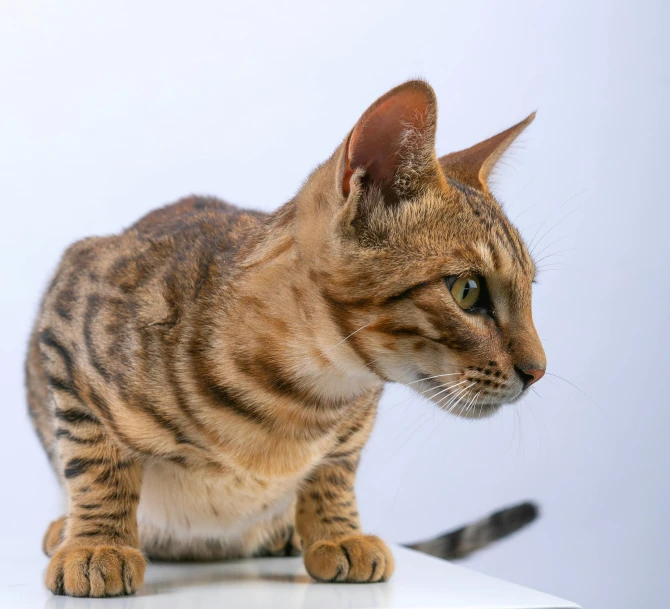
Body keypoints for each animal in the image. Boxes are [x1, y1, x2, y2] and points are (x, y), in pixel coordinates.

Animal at [27, 78, 544, 596]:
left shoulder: (356, 419)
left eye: (530, 290)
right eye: (467, 290)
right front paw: (98, 543)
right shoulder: (66, 325)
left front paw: (338, 532)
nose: (538, 370)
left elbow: (336, 468)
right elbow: (94, 462)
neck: (302, 402)